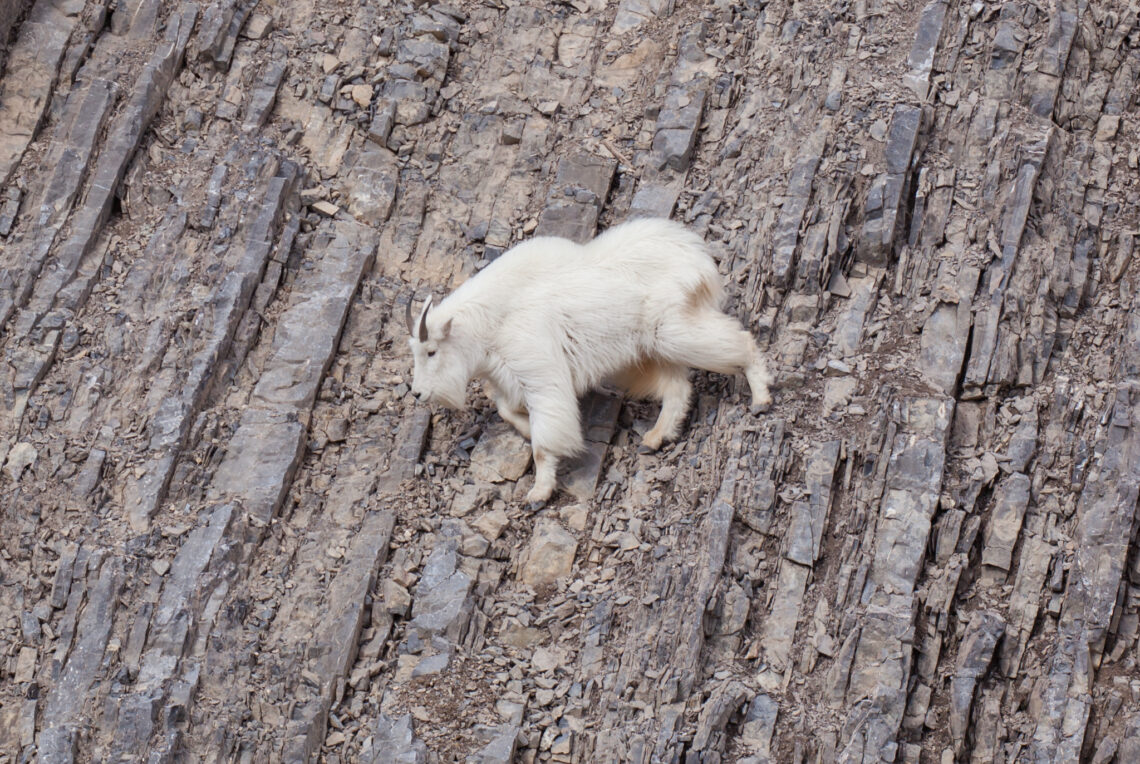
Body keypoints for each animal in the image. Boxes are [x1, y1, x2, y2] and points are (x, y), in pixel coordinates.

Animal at [407, 217, 772, 503]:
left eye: (431, 351)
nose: (418, 393)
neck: (489, 323)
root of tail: (694, 254)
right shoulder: (511, 379)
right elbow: (506, 410)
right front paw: (526, 431)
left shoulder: (539, 371)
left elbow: (544, 438)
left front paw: (538, 492)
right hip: (649, 352)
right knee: (677, 388)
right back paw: (655, 438)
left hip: (671, 331)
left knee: (740, 342)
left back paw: (761, 398)